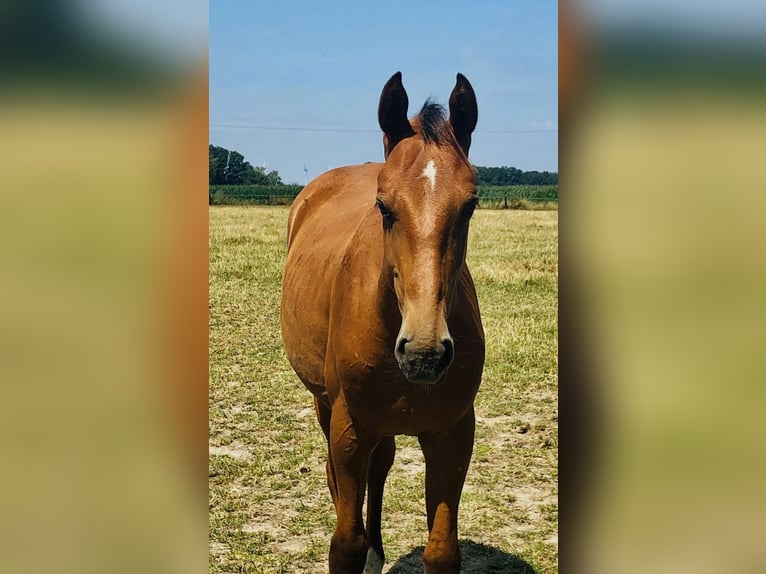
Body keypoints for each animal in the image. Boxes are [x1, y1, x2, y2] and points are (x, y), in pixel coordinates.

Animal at [282, 73, 486, 574]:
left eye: (470, 205)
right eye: (384, 207)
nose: (424, 353)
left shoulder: (453, 434)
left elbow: (441, 550)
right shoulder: (350, 428)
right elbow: (345, 543)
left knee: (383, 464)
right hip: (324, 404)